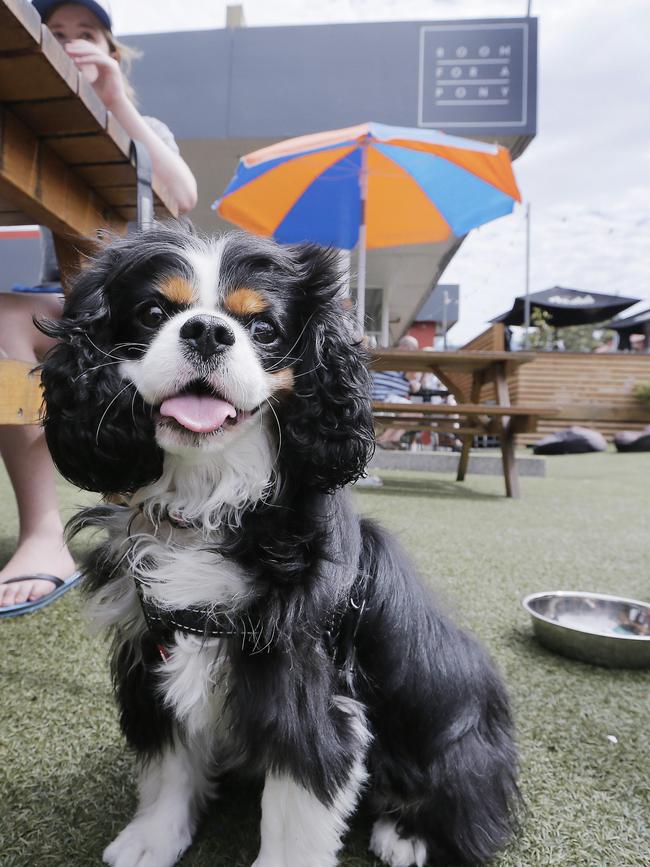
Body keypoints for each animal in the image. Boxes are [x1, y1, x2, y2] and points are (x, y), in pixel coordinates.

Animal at [39, 227, 516, 867]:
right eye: (154, 312)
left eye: (263, 327)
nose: (207, 331)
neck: (211, 499)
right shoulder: (155, 650)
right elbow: (170, 766)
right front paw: (152, 839)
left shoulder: (304, 691)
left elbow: (294, 806)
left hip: (449, 733)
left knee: (460, 801)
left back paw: (406, 834)